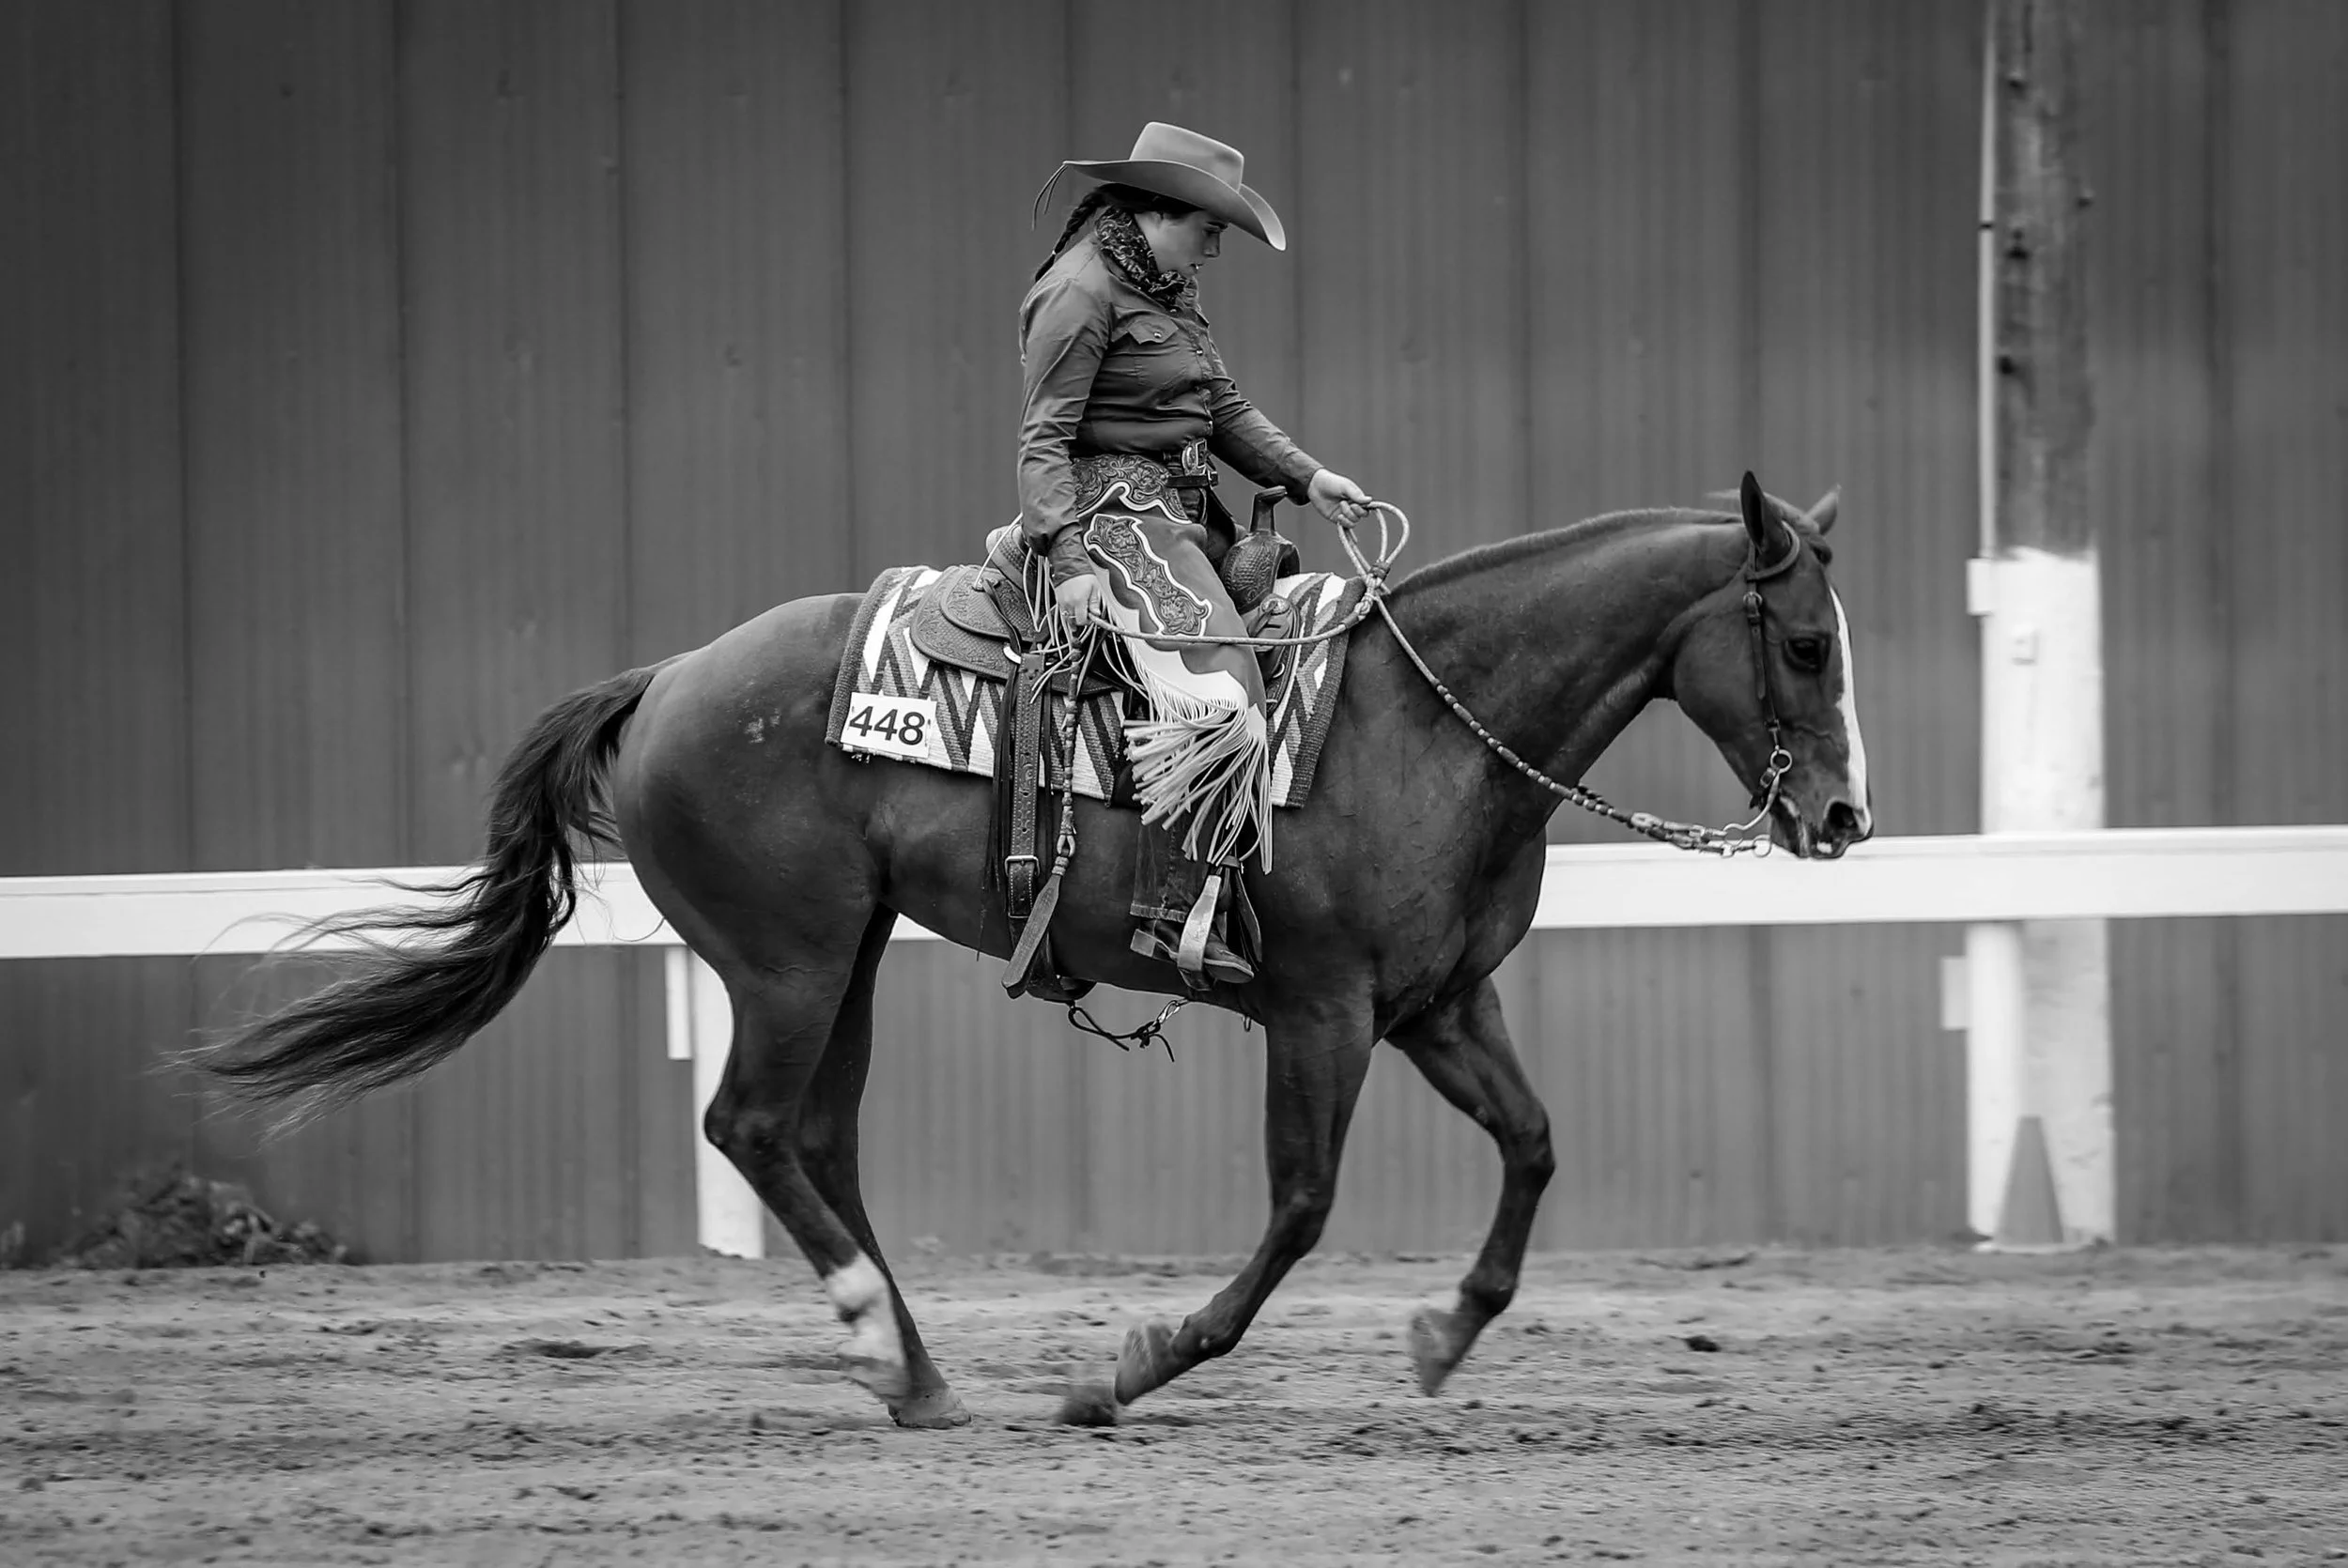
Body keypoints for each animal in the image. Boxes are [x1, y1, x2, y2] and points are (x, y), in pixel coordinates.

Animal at [197, 471, 1871, 1430]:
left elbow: (1533, 1143)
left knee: (818, 1139)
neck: (1419, 726)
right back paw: (885, 1346)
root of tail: (669, 678)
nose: (1845, 814)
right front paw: (1123, 1368)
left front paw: (1445, 1336)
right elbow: (1301, 1208)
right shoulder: (1323, 1015)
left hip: (853, 958)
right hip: (789, 960)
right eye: (1802, 641)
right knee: (752, 1124)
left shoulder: (1441, 1003)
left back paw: (919, 1371)